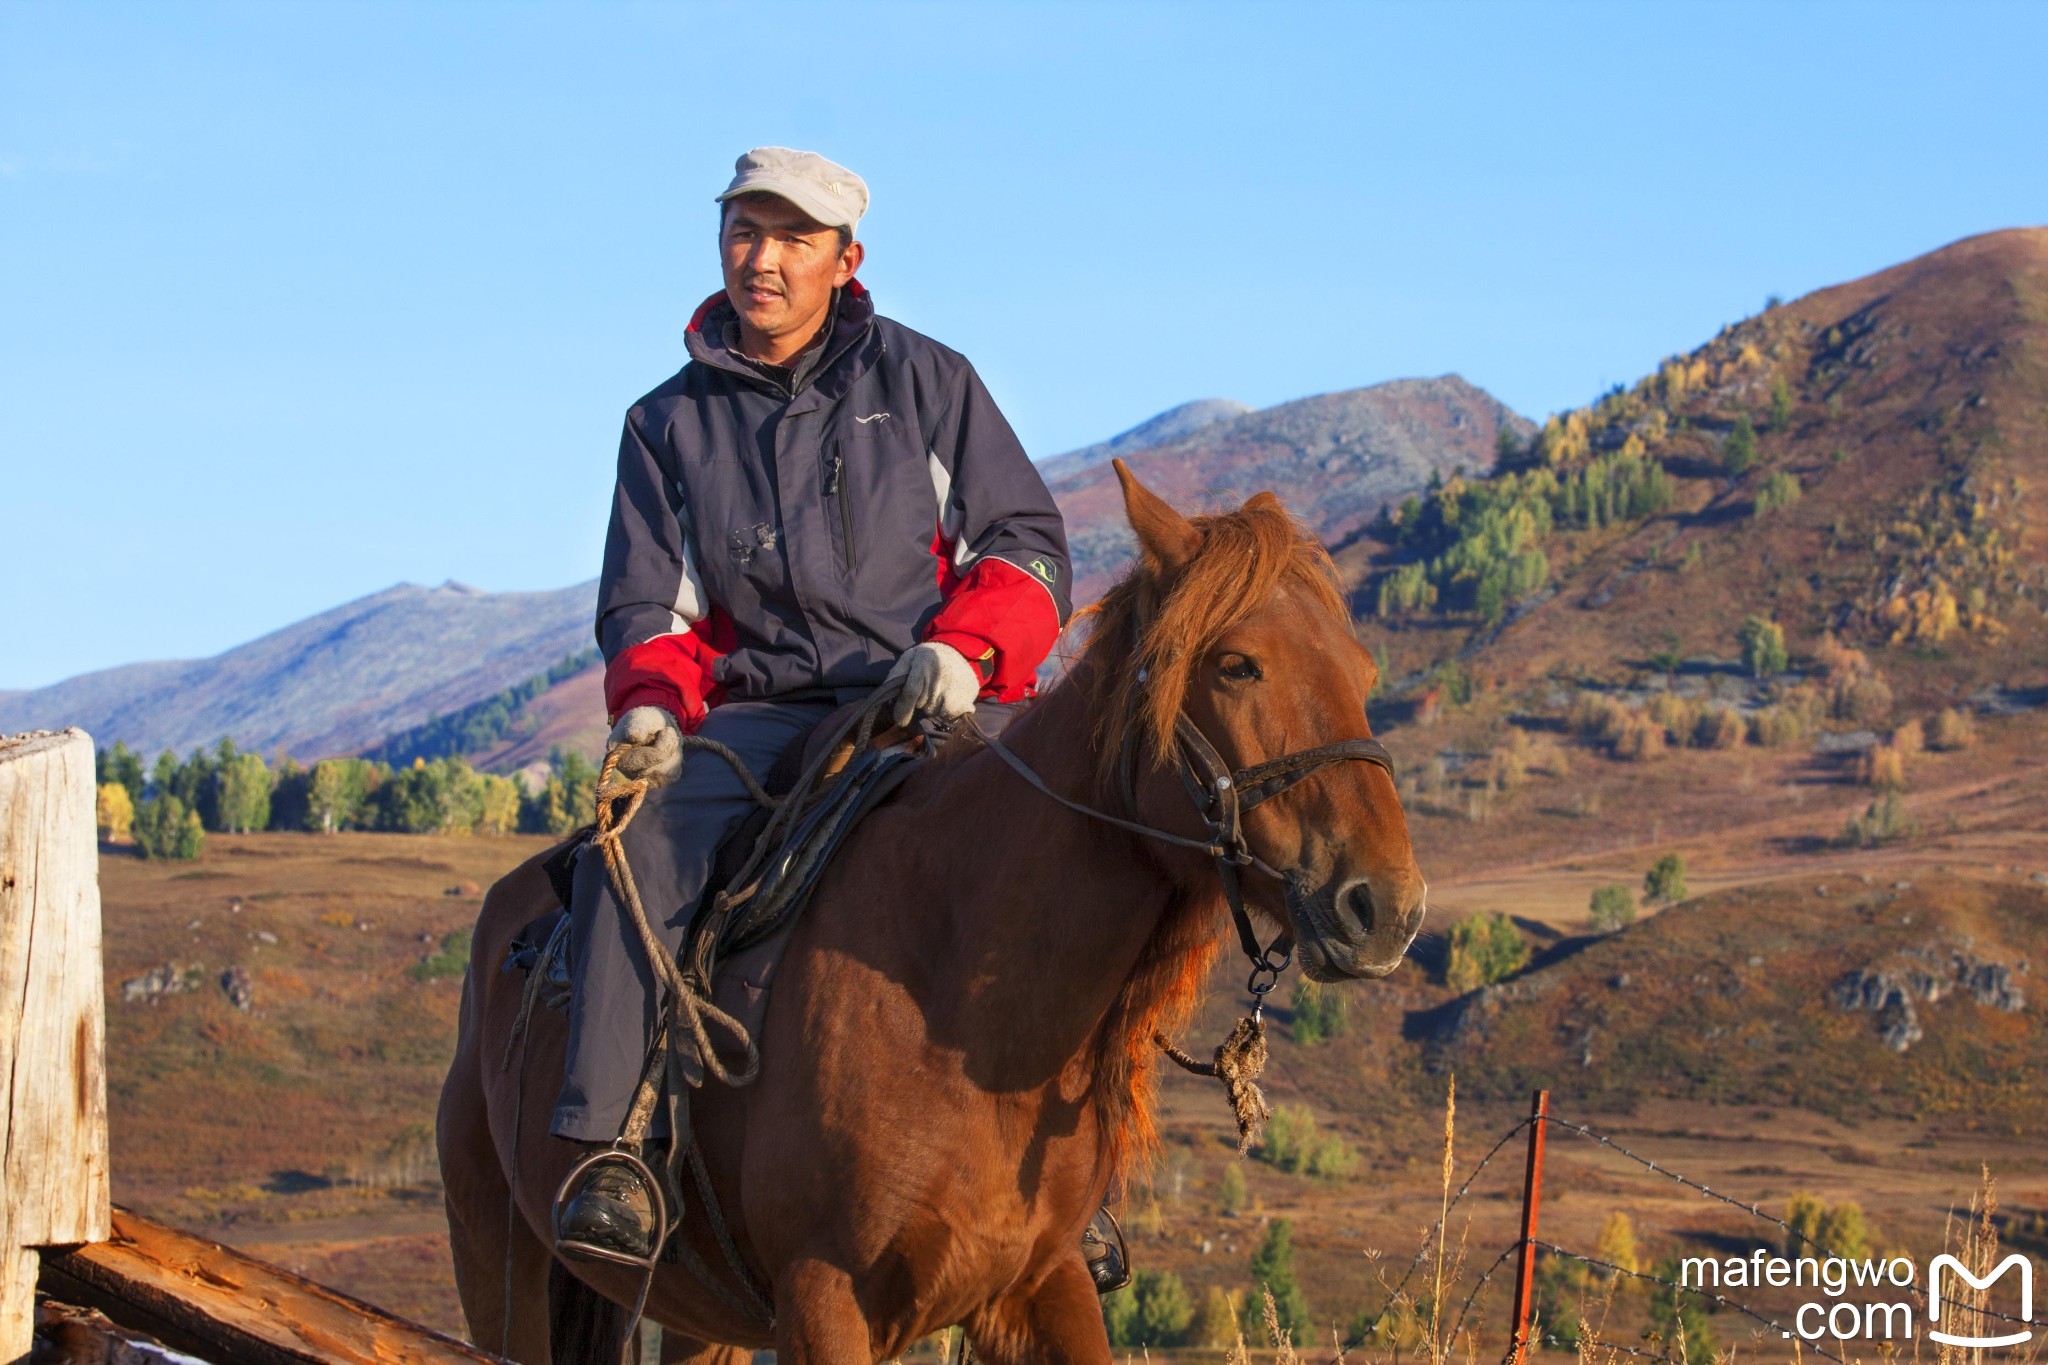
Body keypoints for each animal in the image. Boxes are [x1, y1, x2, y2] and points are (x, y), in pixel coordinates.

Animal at [438, 462, 1417, 1365]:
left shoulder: (1038, 1281)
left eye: (1364, 668)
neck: (967, 1010)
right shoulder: (824, 1298)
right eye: (1237, 663)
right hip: (504, 1272)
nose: (1387, 908)